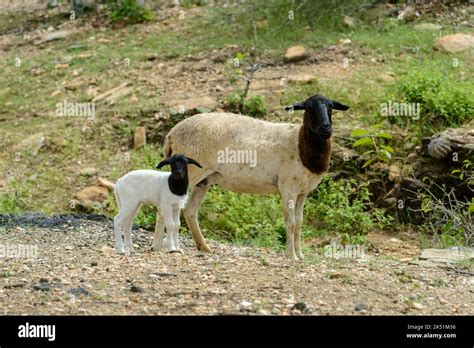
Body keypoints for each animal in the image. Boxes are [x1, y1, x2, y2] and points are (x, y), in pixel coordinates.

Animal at [163, 94, 348, 260]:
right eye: (309, 108)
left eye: (330, 107)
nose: (326, 128)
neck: (301, 145)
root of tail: (171, 134)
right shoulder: (288, 188)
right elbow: (291, 223)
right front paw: (291, 256)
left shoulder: (303, 192)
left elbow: (299, 222)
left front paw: (301, 255)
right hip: (189, 172)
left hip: (203, 180)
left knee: (190, 211)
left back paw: (204, 247)